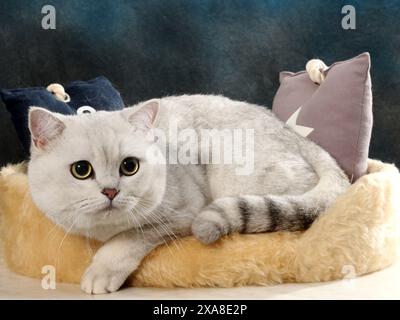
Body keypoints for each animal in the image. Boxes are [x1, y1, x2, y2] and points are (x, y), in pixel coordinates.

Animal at [27, 94, 350, 294]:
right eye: (81, 170)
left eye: (129, 166)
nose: (110, 191)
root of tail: (296, 136)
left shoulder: (183, 213)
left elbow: (125, 239)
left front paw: (100, 273)